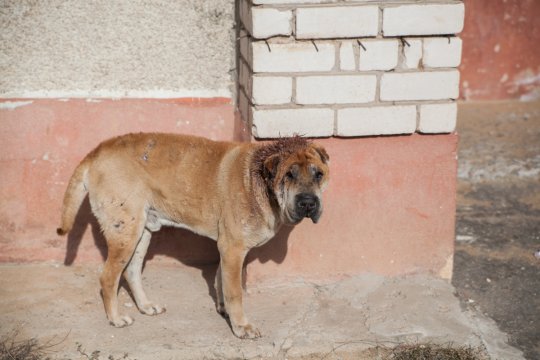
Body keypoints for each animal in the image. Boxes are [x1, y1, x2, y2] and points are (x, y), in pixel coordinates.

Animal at [58, 131, 330, 338]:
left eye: (319, 174)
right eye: (289, 175)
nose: (308, 203)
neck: (259, 181)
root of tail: (97, 150)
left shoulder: (226, 249)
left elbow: (221, 280)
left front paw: (223, 309)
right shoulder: (233, 249)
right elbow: (235, 292)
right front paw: (241, 326)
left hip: (141, 232)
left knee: (131, 271)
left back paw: (146, 306)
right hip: (125, 233)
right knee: (108, 277)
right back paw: (115, 318)